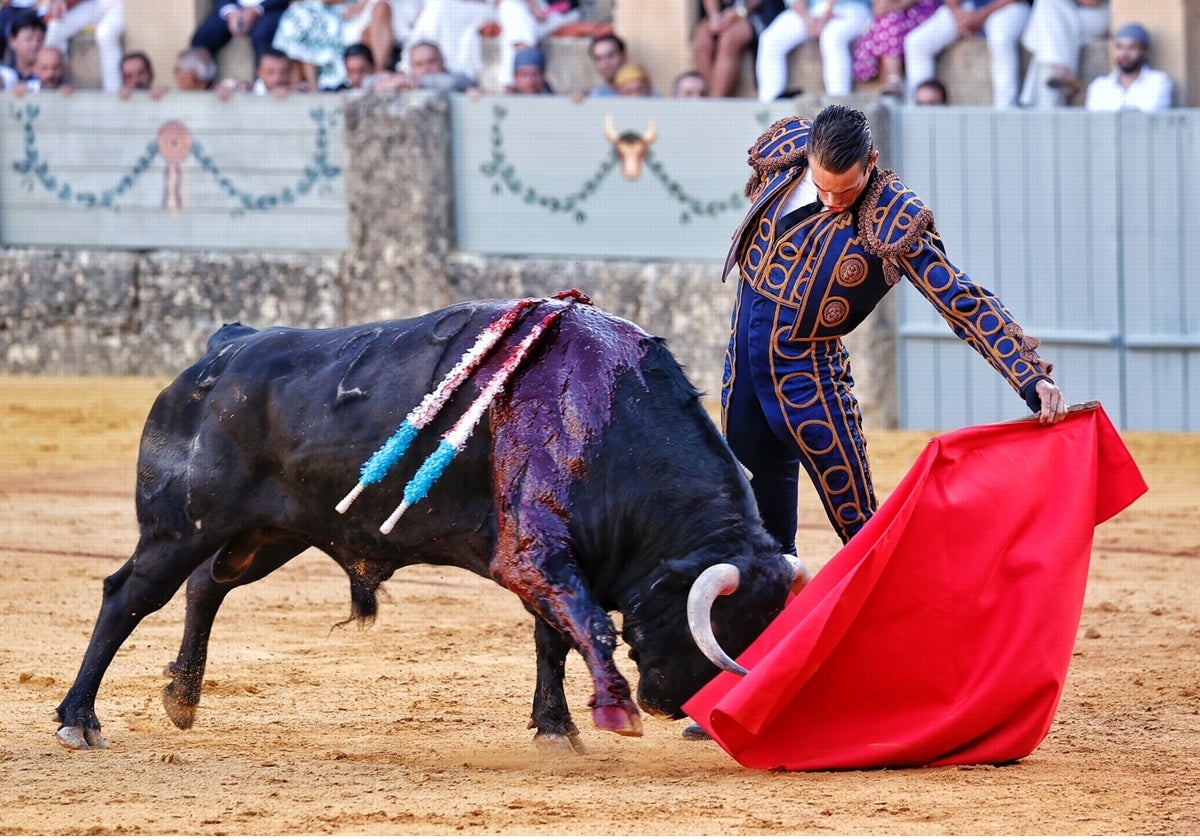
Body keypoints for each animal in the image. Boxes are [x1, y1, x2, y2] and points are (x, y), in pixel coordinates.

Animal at [54, 294, 796, 748]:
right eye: (717, 627)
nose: (677, 705)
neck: (614, 416)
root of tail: (226, 348)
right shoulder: (534, 554)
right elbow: (586, 625)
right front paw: (610, 710)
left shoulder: (543, 560)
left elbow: (552, 637)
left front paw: (555, 728)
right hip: (180, 527)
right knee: (127, 596)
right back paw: (77, 720)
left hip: (270, 534)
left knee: (206, 585)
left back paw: (182, 698)